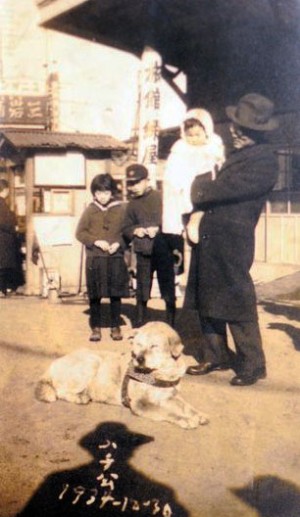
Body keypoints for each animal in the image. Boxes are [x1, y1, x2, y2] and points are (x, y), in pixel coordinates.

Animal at [35, 320, 209, 430]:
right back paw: (80, 397)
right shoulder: (140, 404)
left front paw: (199, 415)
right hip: (91, 360)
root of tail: (52, 364)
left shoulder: (171, 396)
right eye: (138, 344)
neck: (161, 372)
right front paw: (186, 419)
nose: (139, 359)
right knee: (59, 391)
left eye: (154, 346)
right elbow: (167, 412)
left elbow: (187, 406)